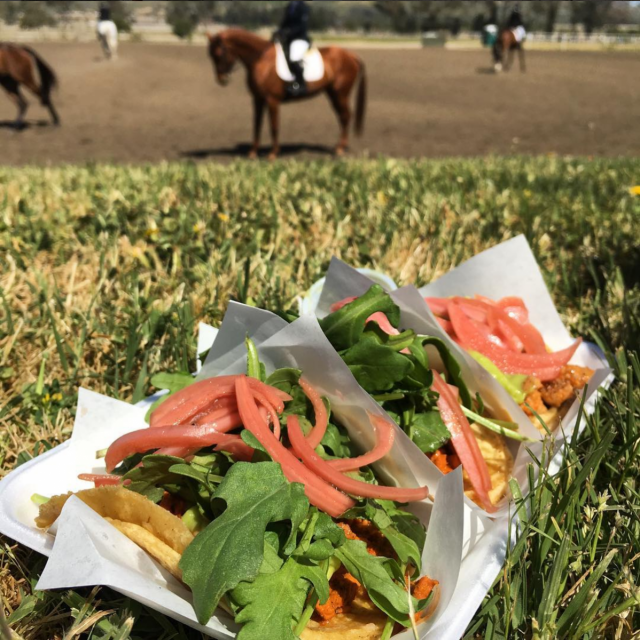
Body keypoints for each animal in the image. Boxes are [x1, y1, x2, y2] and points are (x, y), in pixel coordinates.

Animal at [206, 29, 362, 160]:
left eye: (219, 54)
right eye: (211, 56)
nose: (222, 80)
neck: (260, 59)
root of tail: (351, 55)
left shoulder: (272, 100)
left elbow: (274, 126)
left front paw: (273, 153)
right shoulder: (258, 99)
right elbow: (257, 124)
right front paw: (253, 152)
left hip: (340, 94)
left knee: (346, 116)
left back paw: (340, 148)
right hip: (333, 94)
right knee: (342, 116)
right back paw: (340, 146)